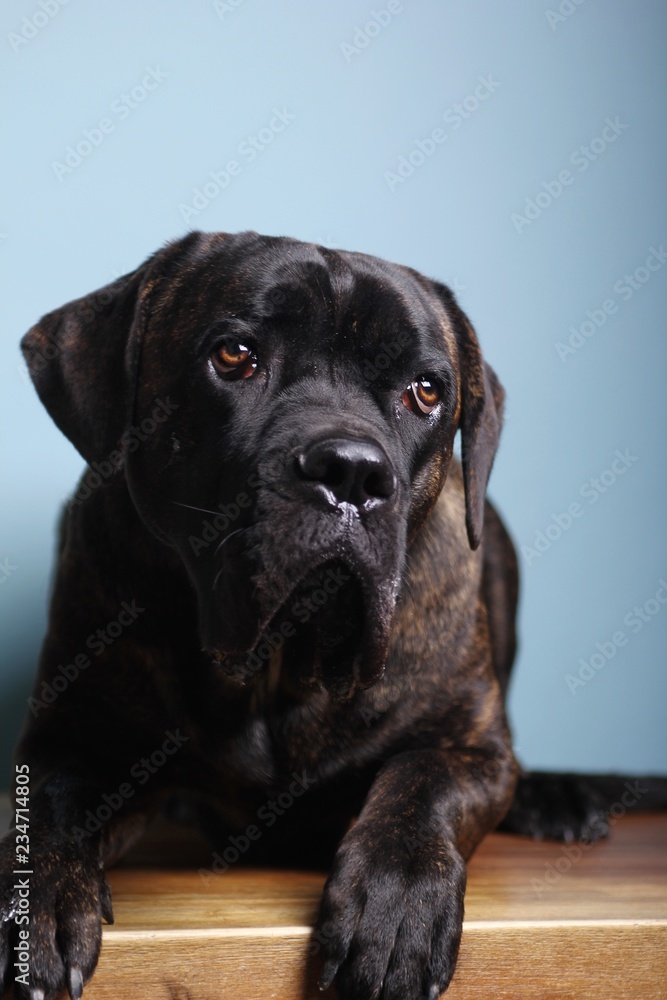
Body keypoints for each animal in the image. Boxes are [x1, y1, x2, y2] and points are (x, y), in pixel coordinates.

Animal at [3, 229, 664, 1000]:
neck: (281, 665)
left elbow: (421, 783)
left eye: (426, 391)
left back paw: (556, 799)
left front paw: (398, 902)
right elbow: (49, 811)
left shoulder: (470, 748)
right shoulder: (73, 738)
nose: (352, 471)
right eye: (235, 355)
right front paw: (40, 900)